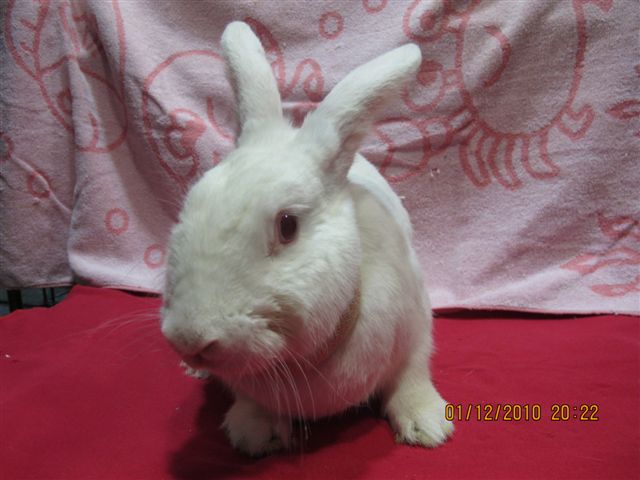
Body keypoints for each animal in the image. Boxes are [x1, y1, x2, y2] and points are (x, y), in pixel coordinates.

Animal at [160, 21, 453, 456]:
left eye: (287, 226)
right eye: (192, 203)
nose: (189, 338)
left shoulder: (416, 328)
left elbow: (411, 375)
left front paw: (428, 425)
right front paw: (253, 433)